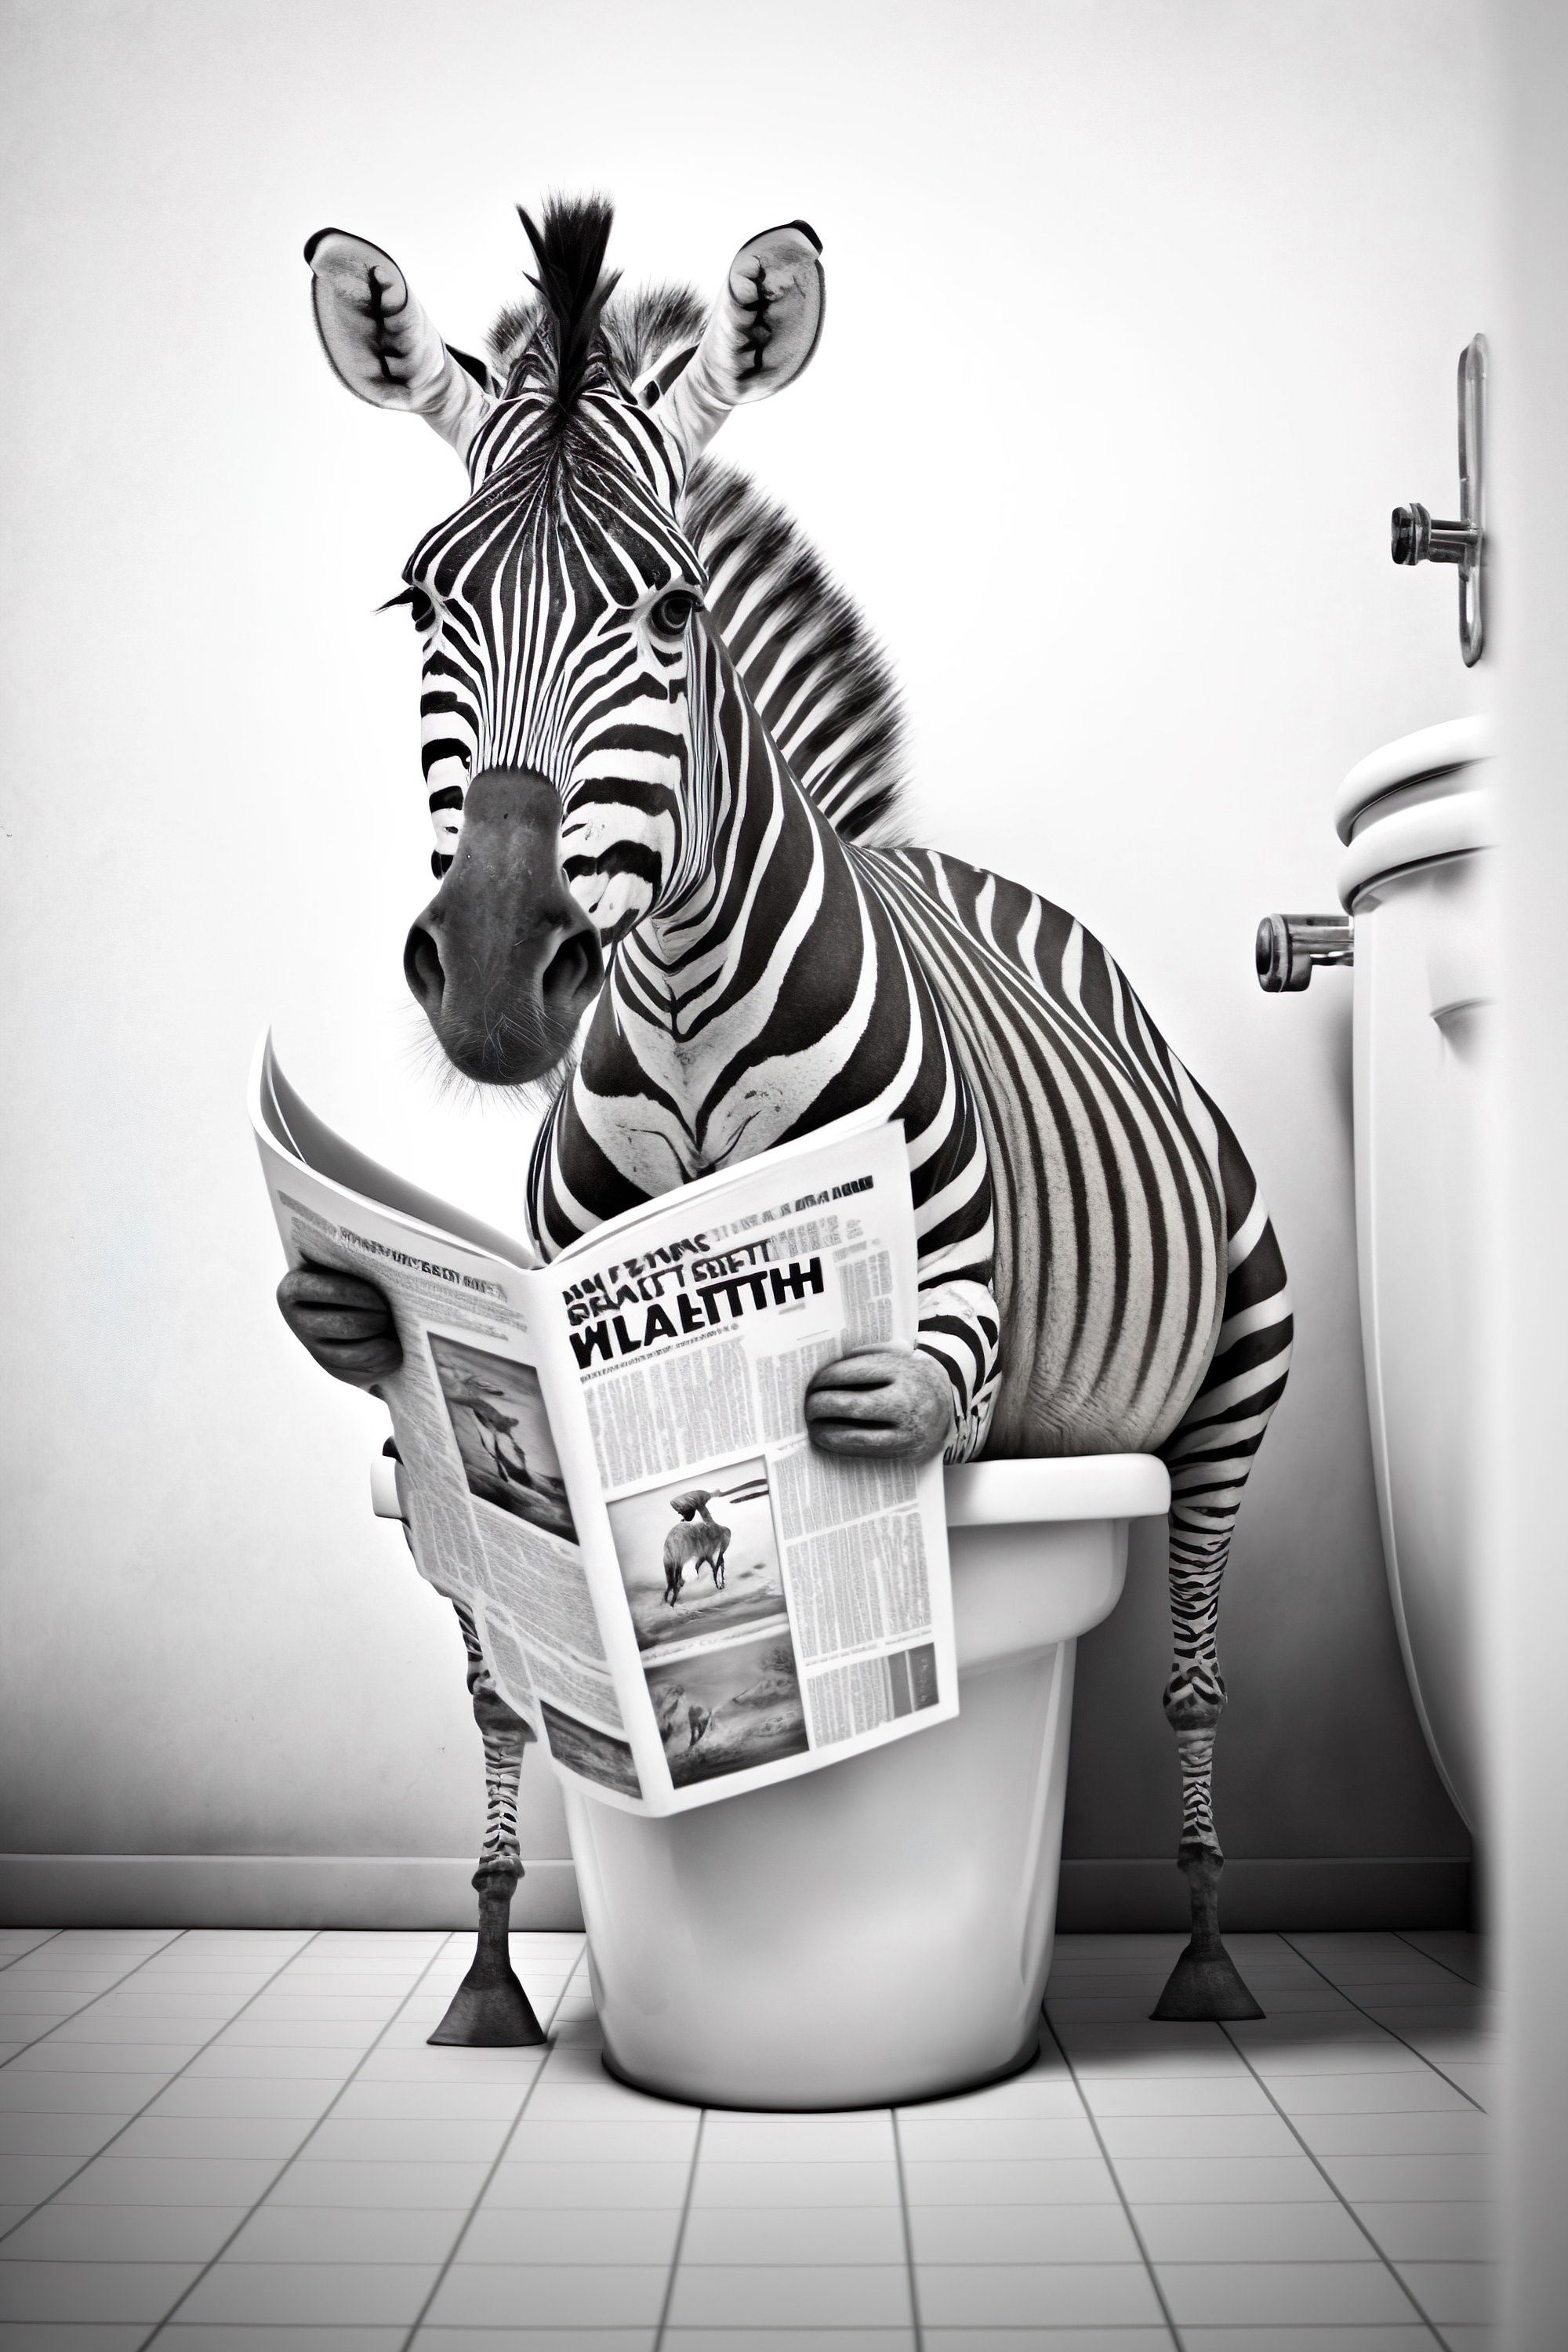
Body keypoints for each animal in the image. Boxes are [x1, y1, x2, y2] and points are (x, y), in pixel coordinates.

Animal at [279, 197, 1293, 2037]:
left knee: (1191, 1664)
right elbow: (497, 1675)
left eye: (672, 610)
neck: (684, 1011)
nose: (493, 969)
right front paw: (487, 1964)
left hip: (1243, 1369)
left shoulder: (959, 1336)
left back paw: (1199, 1942)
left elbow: (918, 1387)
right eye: (419, 604)